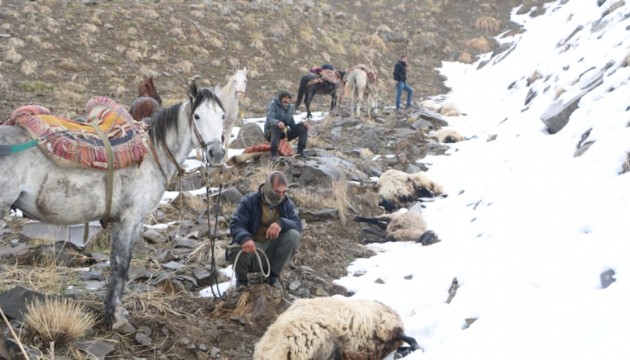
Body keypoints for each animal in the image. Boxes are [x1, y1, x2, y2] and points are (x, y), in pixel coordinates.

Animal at [0, 80, 226, 334]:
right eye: (197, 116)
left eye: (222, 115)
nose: (216, 153)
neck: (151, 154)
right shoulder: (130, 220)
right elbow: (121, 265)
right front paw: (117, 318)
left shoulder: (121, 222)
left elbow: (116, 265)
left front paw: (112, 312)